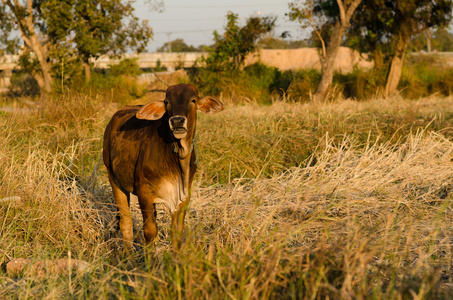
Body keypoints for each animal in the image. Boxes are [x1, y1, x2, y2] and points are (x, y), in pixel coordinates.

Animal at [102, 83, 222, 247]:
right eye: (167, 102)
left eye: (193, 100)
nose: (177, 121)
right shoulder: (144, 193)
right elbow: (150, 231)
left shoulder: (183, 197)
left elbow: (176, 234)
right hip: (114, 179)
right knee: (126, 222)